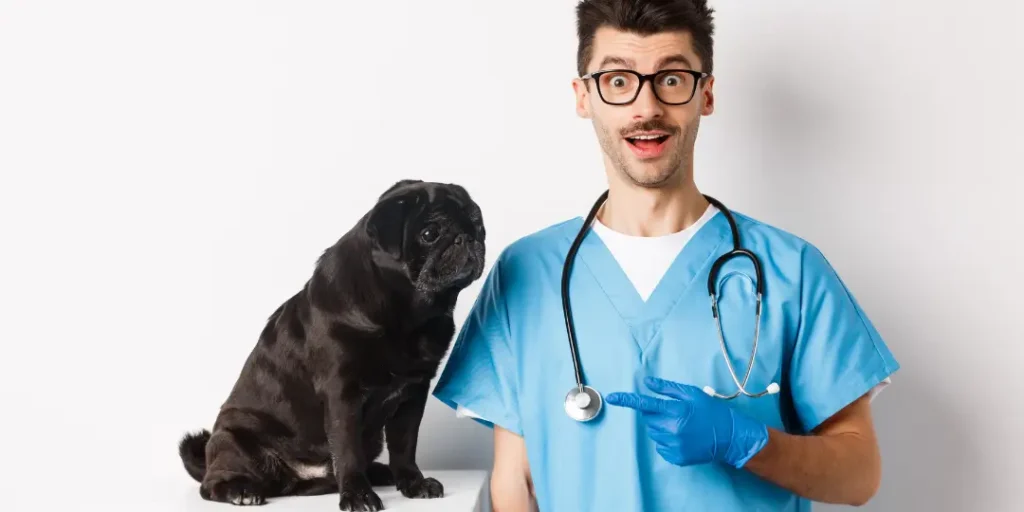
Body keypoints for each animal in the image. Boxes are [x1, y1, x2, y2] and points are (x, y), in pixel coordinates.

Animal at [178, 179, 485, 507]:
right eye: (430, 234)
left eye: (479, 226)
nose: (467, 237)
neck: (407, 315)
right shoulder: (342, 395)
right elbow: (348, 451)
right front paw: (358, 495)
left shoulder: (413, 393)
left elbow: (404, 446)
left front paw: (413, 483)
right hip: (234, 440)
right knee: (212, 484)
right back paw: (241, 491)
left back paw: (380, 472)